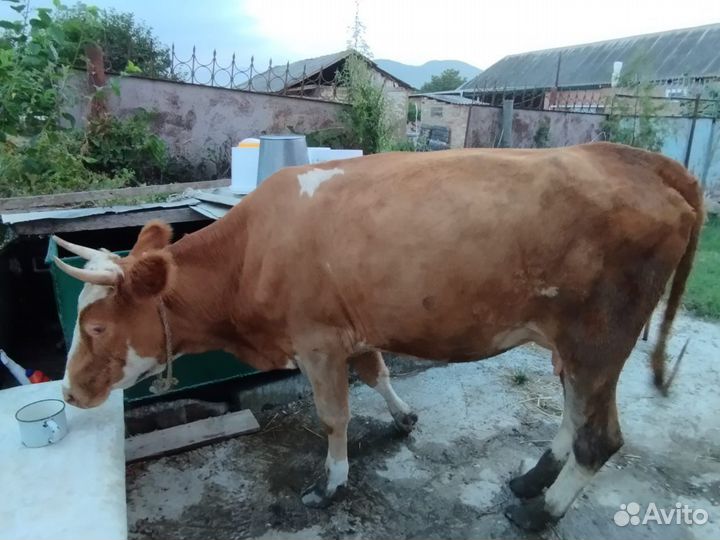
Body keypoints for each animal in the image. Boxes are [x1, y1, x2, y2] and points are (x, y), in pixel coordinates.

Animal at [53, 142, 703, 531]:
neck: (251, 254)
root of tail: (638, 159)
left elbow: (333, 416)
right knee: (573, 413)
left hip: (599, 339)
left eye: (96, 326)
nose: (68, 393)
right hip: (572, 343)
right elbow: (377, 373)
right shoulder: (354, 328)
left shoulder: (315, 341)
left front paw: (332, 483)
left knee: (600, 438)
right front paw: (404, 417)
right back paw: (531, 479)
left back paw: (539, 510)